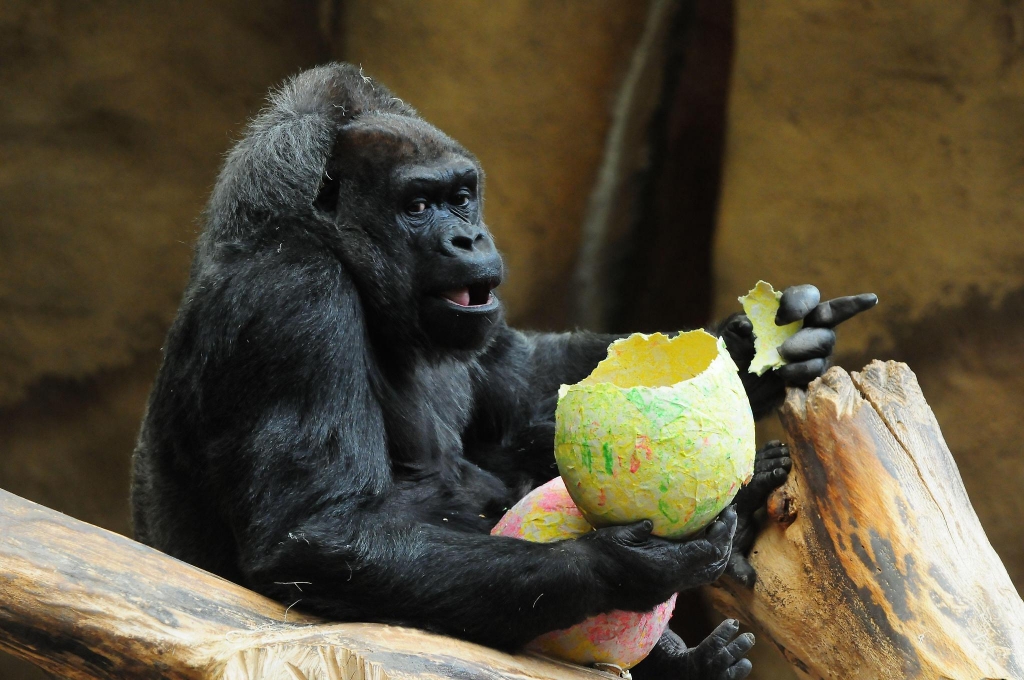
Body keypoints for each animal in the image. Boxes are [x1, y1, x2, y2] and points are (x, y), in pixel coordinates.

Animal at [132, 61, 876, 675]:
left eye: (462, 196)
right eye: (417, 206)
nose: (469, 238)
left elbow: (520, 377)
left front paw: (759, 349)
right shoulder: (293, 299)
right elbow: (313, 534)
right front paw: (620, 567)